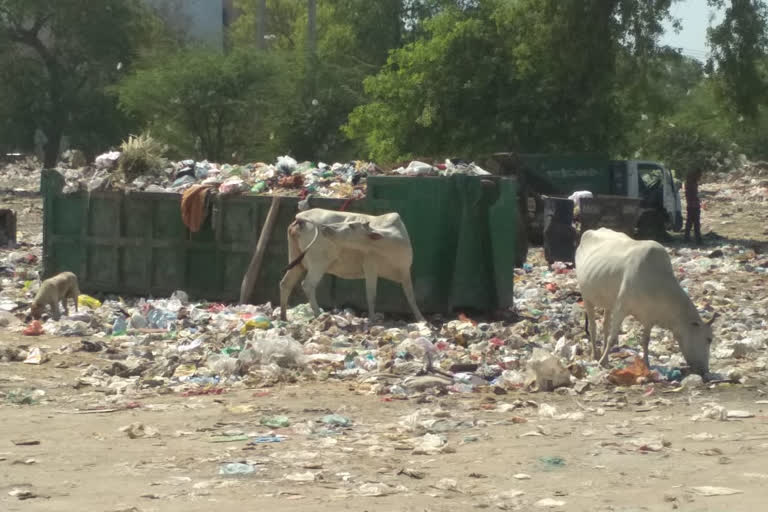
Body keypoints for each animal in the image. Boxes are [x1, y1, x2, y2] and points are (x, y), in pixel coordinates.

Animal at [278, 207, 424, 320]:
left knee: (286, 283)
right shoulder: (370, 267)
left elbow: (411, 296)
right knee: (308, 285)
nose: (326, 228)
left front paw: (420, 318)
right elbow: (371, 295)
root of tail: (301, 218)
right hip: (318, 262)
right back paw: (318, 314)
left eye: (352, 225)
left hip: (297, 260)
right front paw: (372, 318)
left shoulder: (405, 271)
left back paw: (283, 317)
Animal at [572, 228, 716, 376]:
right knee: (593, 327)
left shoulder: (649, 318)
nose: (705, 370)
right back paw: (596, 355)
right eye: (709, 339)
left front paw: (646, 364)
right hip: (586, 297)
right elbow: (613, 338)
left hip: (607, 301)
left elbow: (645, 341)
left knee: (605, 325)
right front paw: (602, 362)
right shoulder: (621, 308)